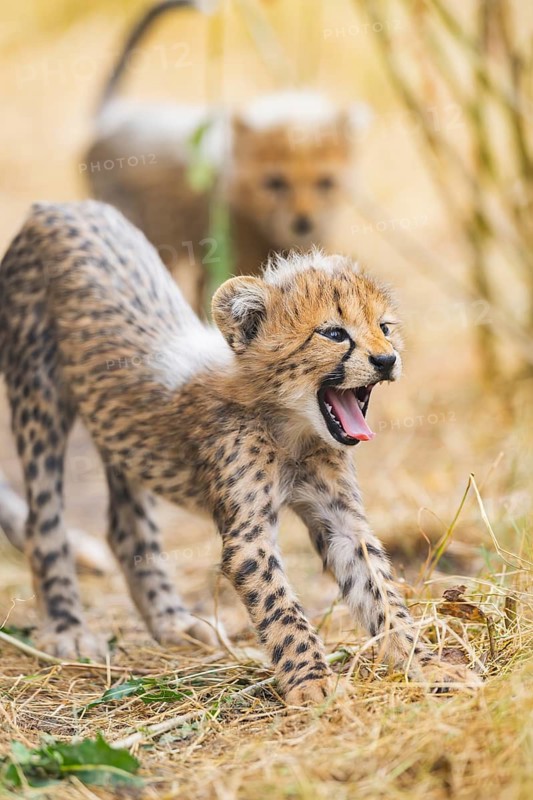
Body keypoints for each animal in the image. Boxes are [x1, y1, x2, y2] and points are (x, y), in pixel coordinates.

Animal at [0, 200, 456, 704]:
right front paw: (312, 681)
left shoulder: (341, 520)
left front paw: (426, 663)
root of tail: (60, 206)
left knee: (125, 526)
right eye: (335, 334)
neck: (291, 428)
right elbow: (281, 606)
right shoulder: (248, 536)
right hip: (38, 396)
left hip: (116, 429)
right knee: (43, 520)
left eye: (384, 328)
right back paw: (68, 627)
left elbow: (381, 591)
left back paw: (171, 620)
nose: (386, 359)